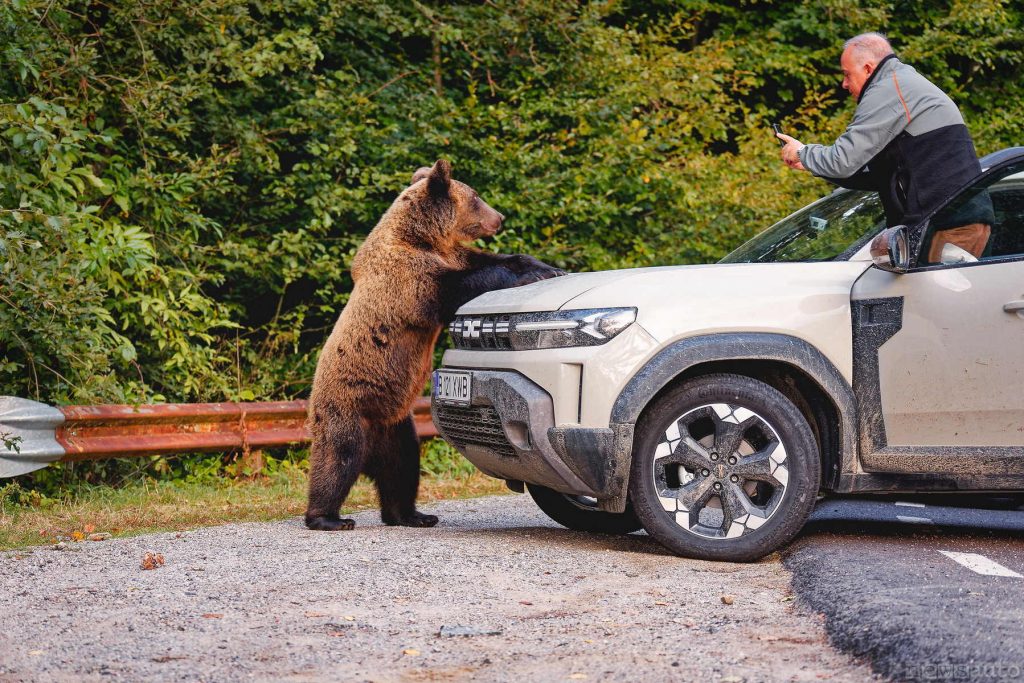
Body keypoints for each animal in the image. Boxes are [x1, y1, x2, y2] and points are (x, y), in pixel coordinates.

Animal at [305, 159, 564, 531]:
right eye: (476, 197)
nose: (499, 217)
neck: (423, 239)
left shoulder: (454, 254)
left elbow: (499, 259)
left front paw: (548, 268)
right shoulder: (408, 279)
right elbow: (460, 285)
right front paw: (533, 274)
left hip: (396, 426)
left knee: (403, 467)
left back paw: (413, 514)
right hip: (347, 406)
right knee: (338, 457)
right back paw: (328, 517)